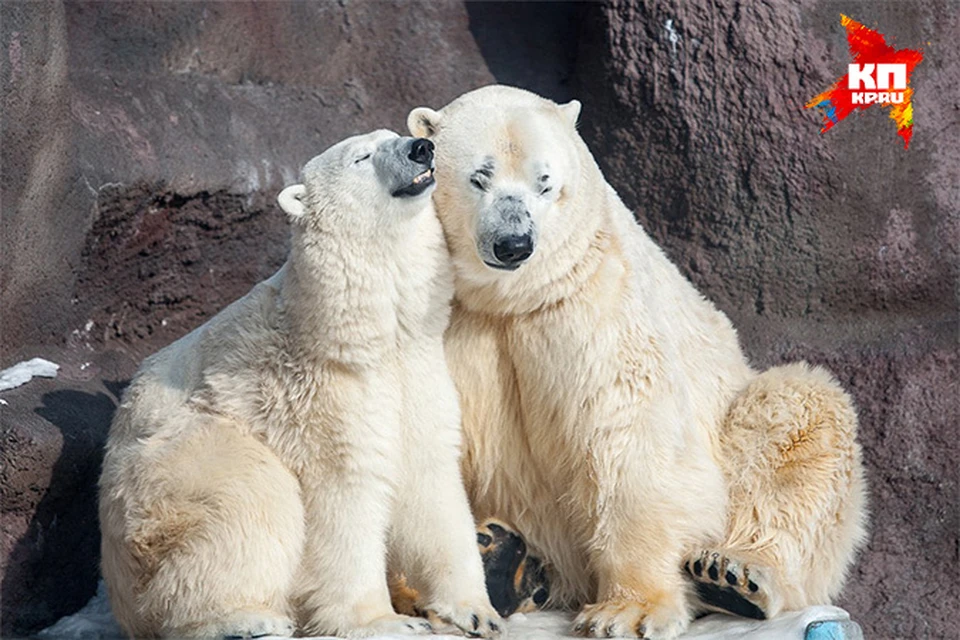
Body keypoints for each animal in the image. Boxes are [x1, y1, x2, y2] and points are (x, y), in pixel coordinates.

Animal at [97, 131, 502, 640]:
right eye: (362, 156)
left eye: (393, 135)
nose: (420, 148)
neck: (358, 334)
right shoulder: (315, 400)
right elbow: (345, 499)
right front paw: (383, 621)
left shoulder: (416, 372)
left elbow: (431, 480)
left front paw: (475, 611)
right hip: (170, 472)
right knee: (248, 499)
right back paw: (243, 619)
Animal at [404, 86, 872, 640]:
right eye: (479, 176)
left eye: (546, 183)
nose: (514, 244)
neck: (508, 299)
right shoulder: (442, 312)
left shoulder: (591, 298)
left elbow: (626, 434)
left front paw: (630, 610)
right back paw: (505, 562)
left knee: (798, 415)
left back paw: (734, 575)